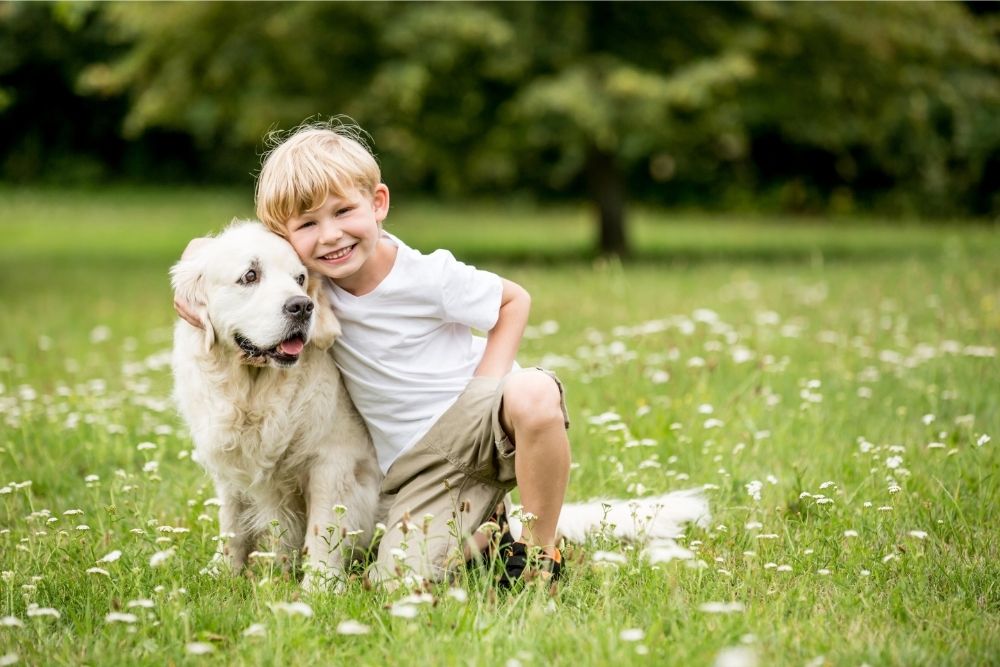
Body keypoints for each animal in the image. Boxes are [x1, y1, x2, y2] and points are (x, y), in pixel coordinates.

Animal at [170, 220, 380, 588]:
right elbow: (232, 523)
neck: (255, 393)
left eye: (300, 279)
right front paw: (223, 572)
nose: (303, 306)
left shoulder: (333, 461)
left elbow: (323, 526)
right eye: (250, 275)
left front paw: (320, 586)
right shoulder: (230, 467)